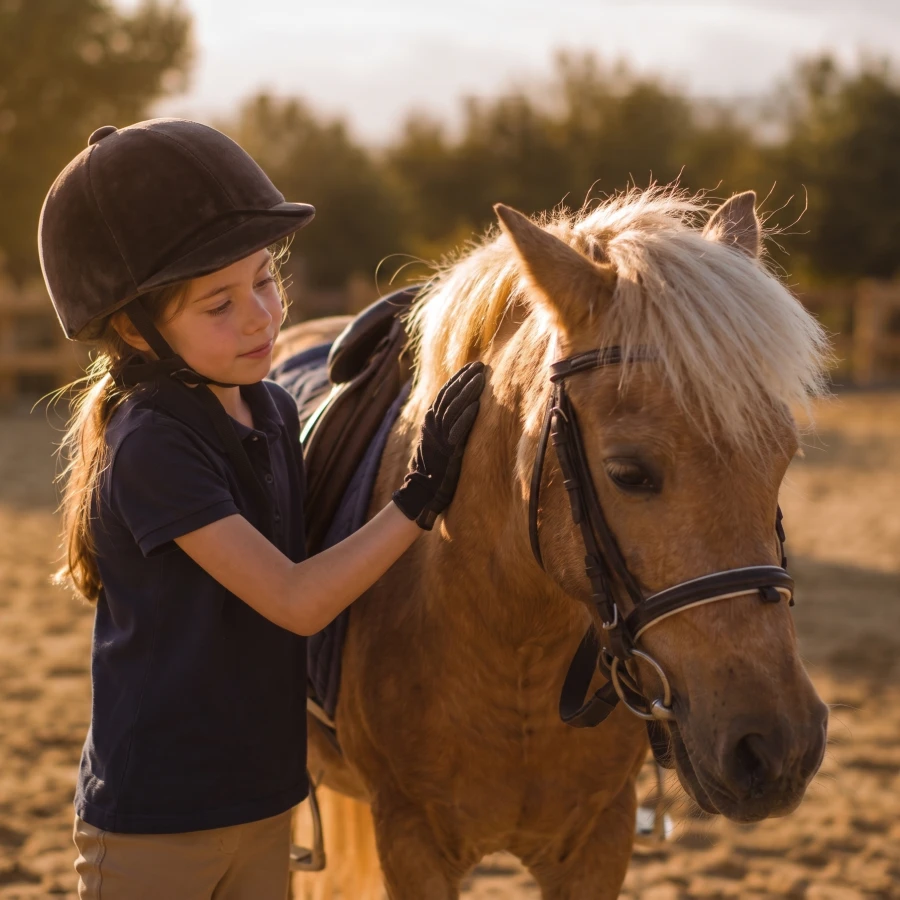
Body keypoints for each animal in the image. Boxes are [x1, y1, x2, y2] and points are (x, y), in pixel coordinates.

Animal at [279, 187, 831, 899]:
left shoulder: (599, 840)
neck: (514, 642)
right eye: (628, 472)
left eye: (783, 459)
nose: (779, 748)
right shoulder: (410, 842)